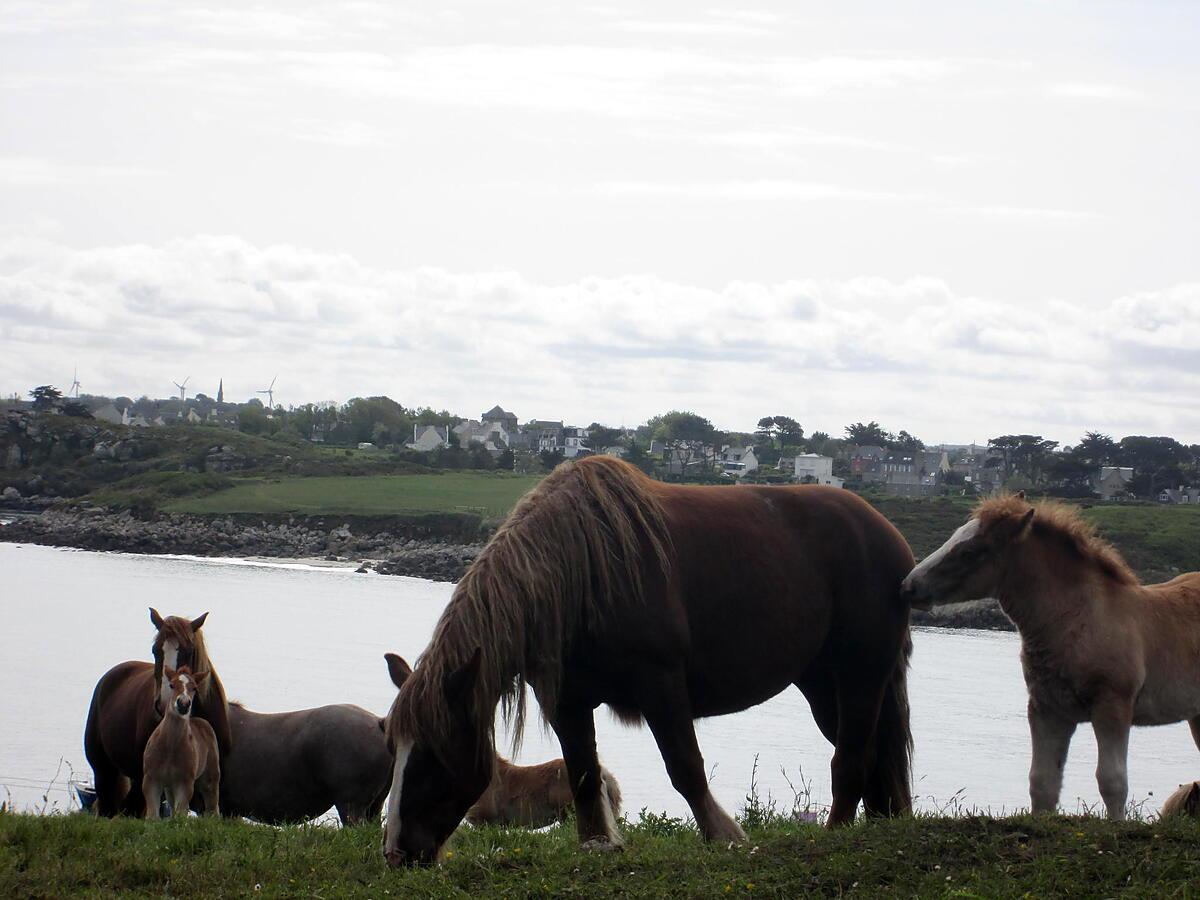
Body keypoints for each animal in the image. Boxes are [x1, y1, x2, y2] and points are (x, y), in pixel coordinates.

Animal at [143, 667, 223, 820]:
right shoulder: (151, 780)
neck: (169, 748)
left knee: (212, 806)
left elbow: (181, 813)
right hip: (169, 787)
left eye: (195, 688)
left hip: (210, 777)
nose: (184, 704)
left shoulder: (185, 783)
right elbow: (153, 816)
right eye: (171, 685)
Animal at [902, 494, 1200, 825]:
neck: (1082, 619)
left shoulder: (1112, 705)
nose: (909, 586)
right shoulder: (1047, 709)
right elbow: (1042, 783)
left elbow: (1112, 781)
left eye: (970, 551)